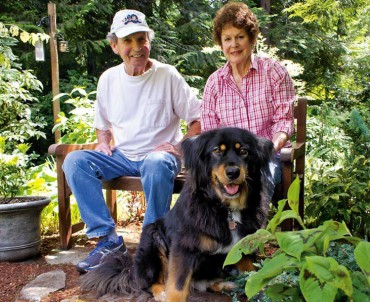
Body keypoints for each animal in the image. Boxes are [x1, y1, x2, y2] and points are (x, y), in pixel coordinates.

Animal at [81, 127, 274, 302]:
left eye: (244, 151)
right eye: (217, 151)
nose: (233, 172)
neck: (225, 209)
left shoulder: (243, 246)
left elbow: (256, 275)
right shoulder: (184, 247)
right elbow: (178, 286)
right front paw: (171, 294)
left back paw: (225, 284)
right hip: (153, 239)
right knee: (148, 282)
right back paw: (161, 292)